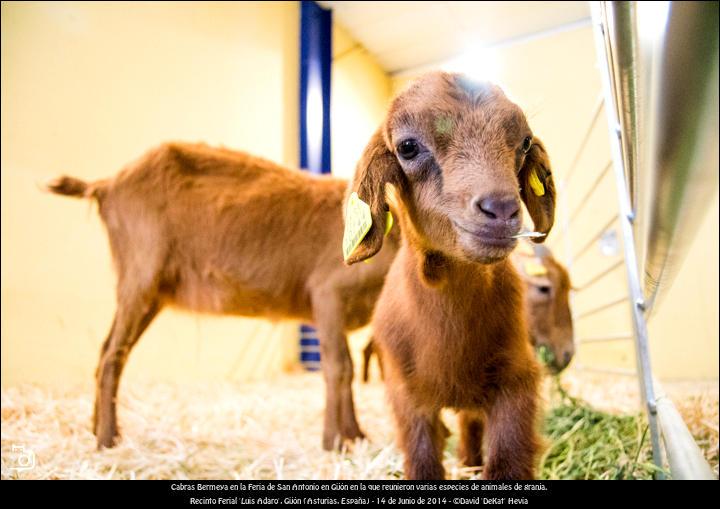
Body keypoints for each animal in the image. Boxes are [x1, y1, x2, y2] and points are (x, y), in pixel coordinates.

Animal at [48, 145, 400, 450]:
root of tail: (106, 184)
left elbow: (348, 370)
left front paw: (357, 436)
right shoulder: (327, 296)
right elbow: (339, 367)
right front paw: (334, 442)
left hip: (150, 293)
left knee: (107, 349)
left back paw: (101, 430)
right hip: (139, 276)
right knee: (112, 356)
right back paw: (106, 440)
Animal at [346, 72, 560, 480]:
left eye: (525, 142)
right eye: (408, 147)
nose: (501, 209)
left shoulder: (517, 382)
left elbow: (508, 459)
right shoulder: (406, 396)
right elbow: (423, 459)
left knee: (469, 422)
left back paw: (469, 460)